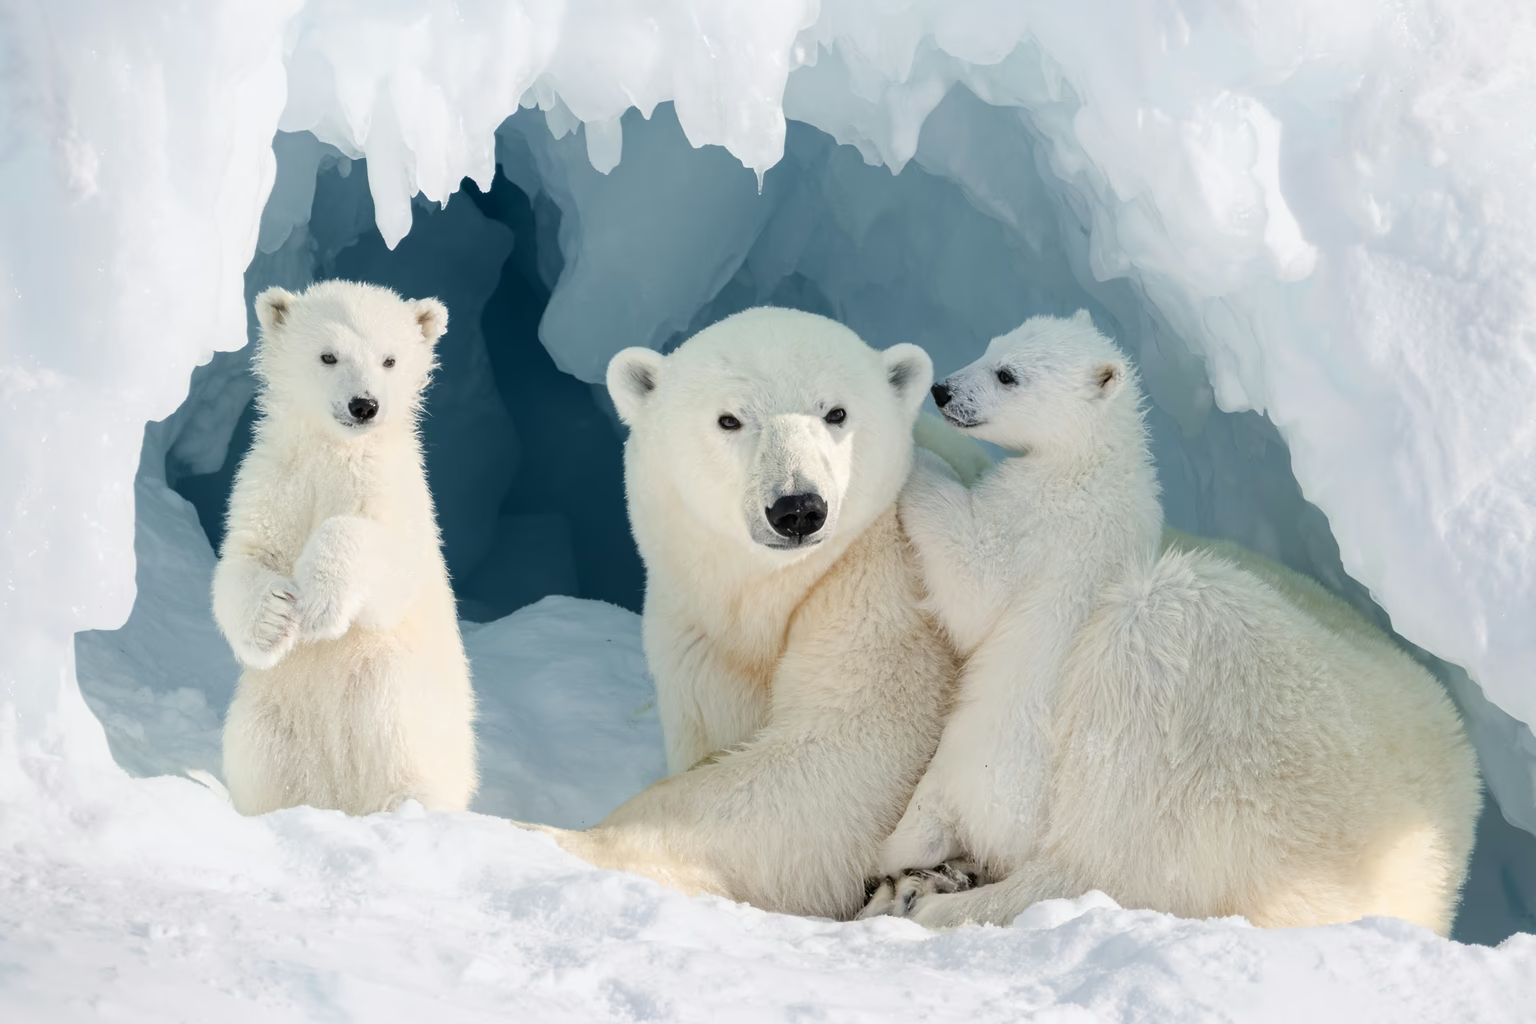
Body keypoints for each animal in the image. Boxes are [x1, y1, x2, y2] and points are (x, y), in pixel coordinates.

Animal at [213, 280, 477, 816]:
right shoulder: (272, 482)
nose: (364, 405)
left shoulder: (393, 493)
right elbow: (243, 560)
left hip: (405, 699)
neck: (334, 451)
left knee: (398, 733)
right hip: (273, 715)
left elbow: (384, 558)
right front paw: (275, 615)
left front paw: (320, 601)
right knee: (261, 753)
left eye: (390, 359)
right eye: (328, 355)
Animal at [525, 307, 966, 920]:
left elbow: (843, 754)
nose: (798, 508)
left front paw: (555, 839)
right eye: (729, 419)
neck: (767, 594)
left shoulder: (884, 586)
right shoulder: (698, 635)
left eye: (836, 412)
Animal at [861, 311, 1481, 935]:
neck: (1097, 467)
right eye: (993, 347)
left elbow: (975, 578)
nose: (944, 391)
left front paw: (913, 455)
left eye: (1007, 374)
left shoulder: (1046, 521)